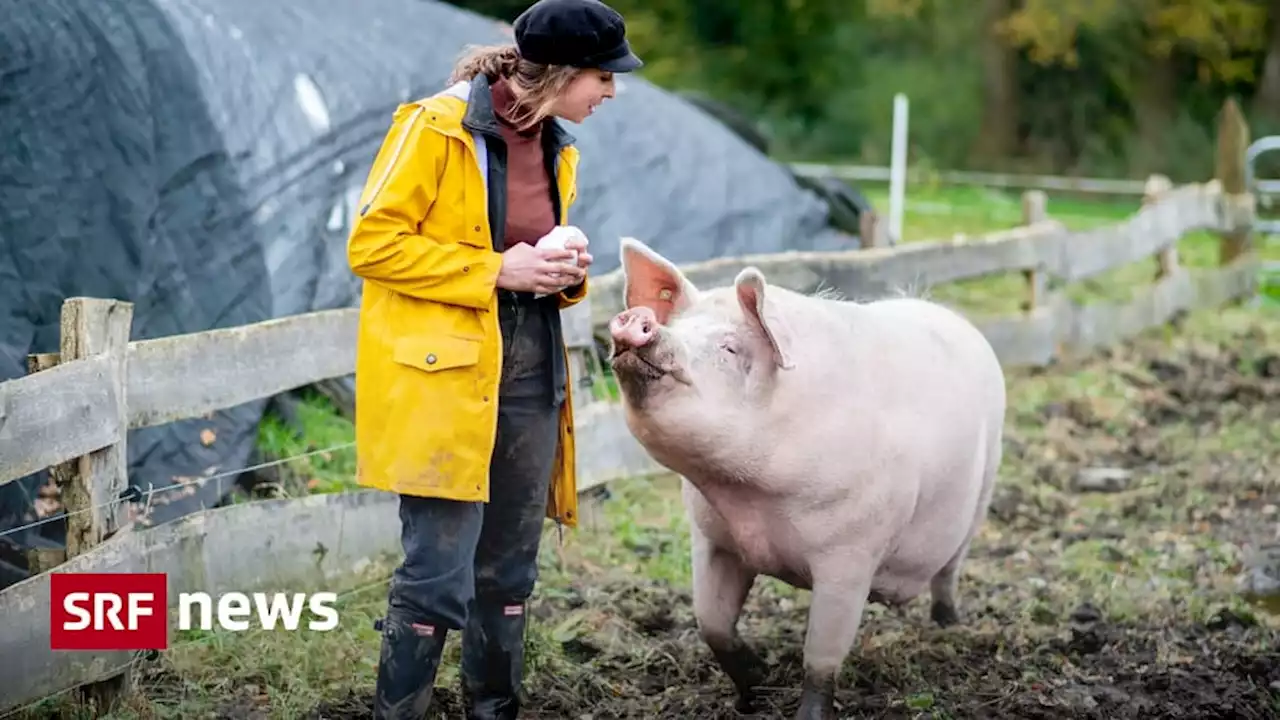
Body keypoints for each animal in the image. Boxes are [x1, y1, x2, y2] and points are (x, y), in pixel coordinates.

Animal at [604, 237, 1003, 717]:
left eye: (730, 348)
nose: (638, 320)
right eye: (677, 325)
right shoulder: (713, 538)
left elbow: (821, 659)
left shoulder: (850, 555)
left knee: (948, 572)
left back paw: (949, 626)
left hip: (983, 491)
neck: (745, 496)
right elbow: (711, 624)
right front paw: (755, 690)